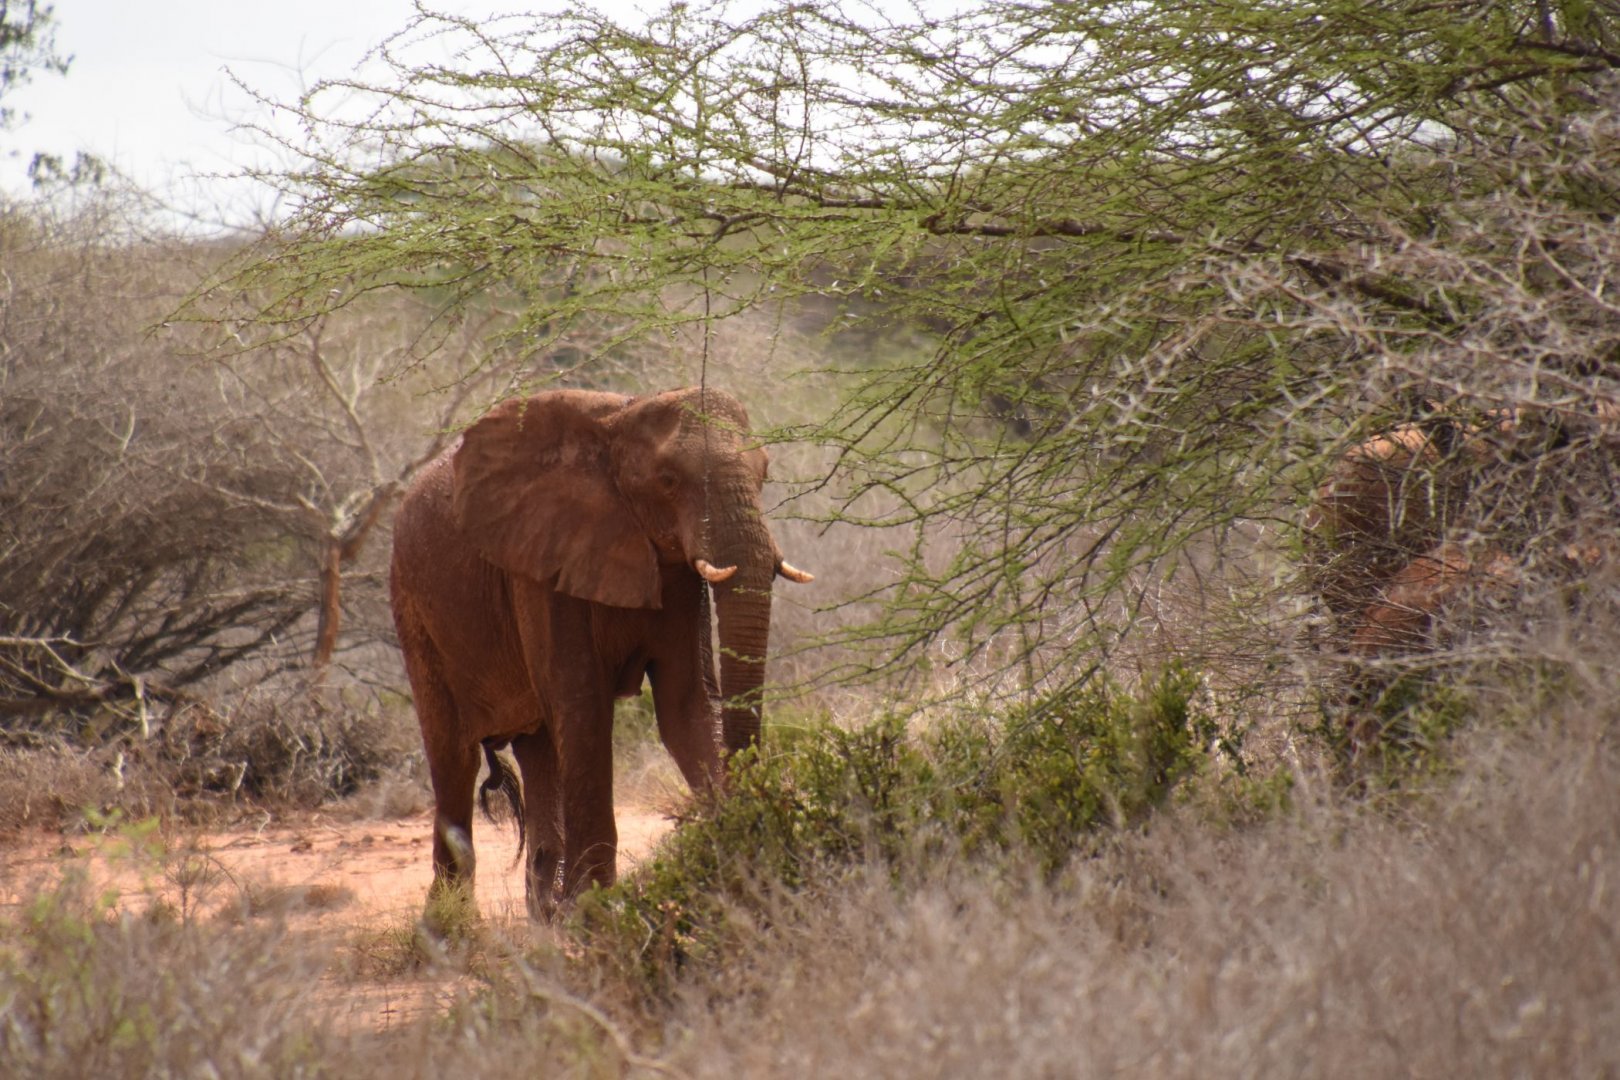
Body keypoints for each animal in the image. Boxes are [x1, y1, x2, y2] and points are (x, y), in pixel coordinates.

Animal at [389, 386, 812, 917]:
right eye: (668, 480)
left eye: (765, 473)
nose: (755, 815)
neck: (620, 420)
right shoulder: (542, 566)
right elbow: (584, 709)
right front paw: (596, 912)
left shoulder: (678, 578)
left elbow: (687, 706)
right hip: (413, 611)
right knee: (454, 760)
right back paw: (451, 925)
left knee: (539, 751)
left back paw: (545, 916)